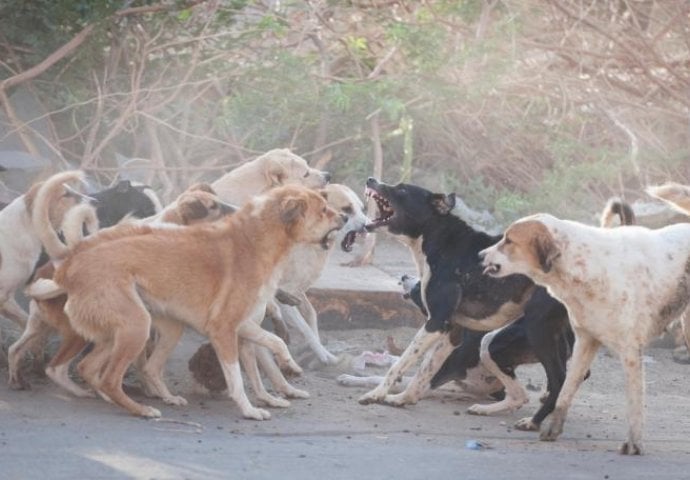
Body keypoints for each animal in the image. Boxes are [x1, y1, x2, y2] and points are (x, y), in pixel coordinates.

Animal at [9, 182, 235, 396]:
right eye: (214, 207)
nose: (237, 209)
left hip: (38, 325)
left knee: (16, 349)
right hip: (78, 332)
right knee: (59, 366)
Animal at [28, 186, 342, 418]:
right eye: (323, 210)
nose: (343, 216)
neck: (256, 240)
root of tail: (68, 268)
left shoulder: (243, 331)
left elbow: (265, 357)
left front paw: (278, 385)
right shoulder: (223, 330)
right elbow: (238, 378)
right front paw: (250, 410)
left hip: (139, 332)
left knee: (97, 368)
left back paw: (154, 398)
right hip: (137, 326)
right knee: (108, 377)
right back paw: (142, 409)